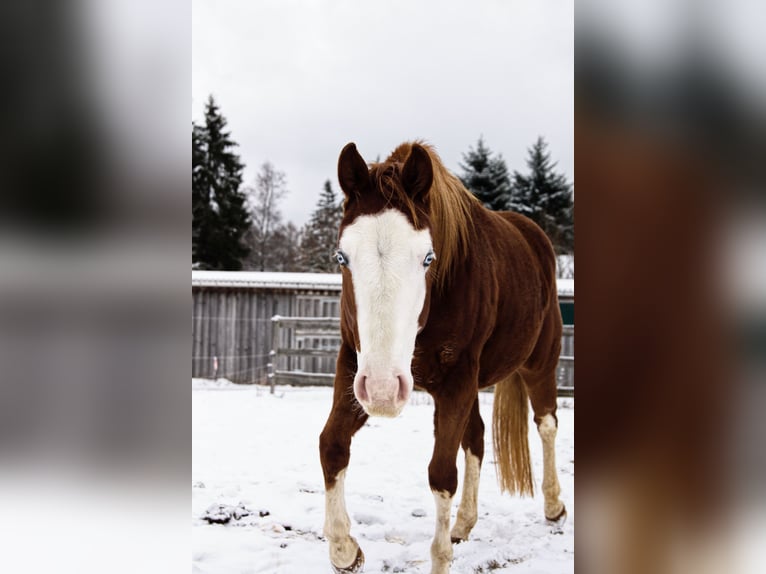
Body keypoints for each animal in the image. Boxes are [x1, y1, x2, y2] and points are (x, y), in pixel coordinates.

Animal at [319, 141, 566, 574]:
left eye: (427, 258)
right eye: (341, 258)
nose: (384, 390)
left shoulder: (456, 382)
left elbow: (441, 474)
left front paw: (439, 557)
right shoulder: (355, 366)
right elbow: (331, 444)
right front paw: (345, 550)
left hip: (540, 364)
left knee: (547, 424)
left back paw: (554, 507)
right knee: (477, 438)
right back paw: (463, 523)